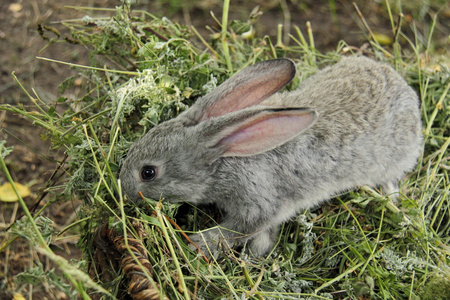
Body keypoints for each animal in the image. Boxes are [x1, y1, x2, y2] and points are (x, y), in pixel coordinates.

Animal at [118, 57, 422, 256]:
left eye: (148, 172)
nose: (123, 191)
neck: (225, 158)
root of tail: (406, 90)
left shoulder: (259, 204)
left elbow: (243, 230)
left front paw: (201, 244)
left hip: (393, 161)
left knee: (392, 180)